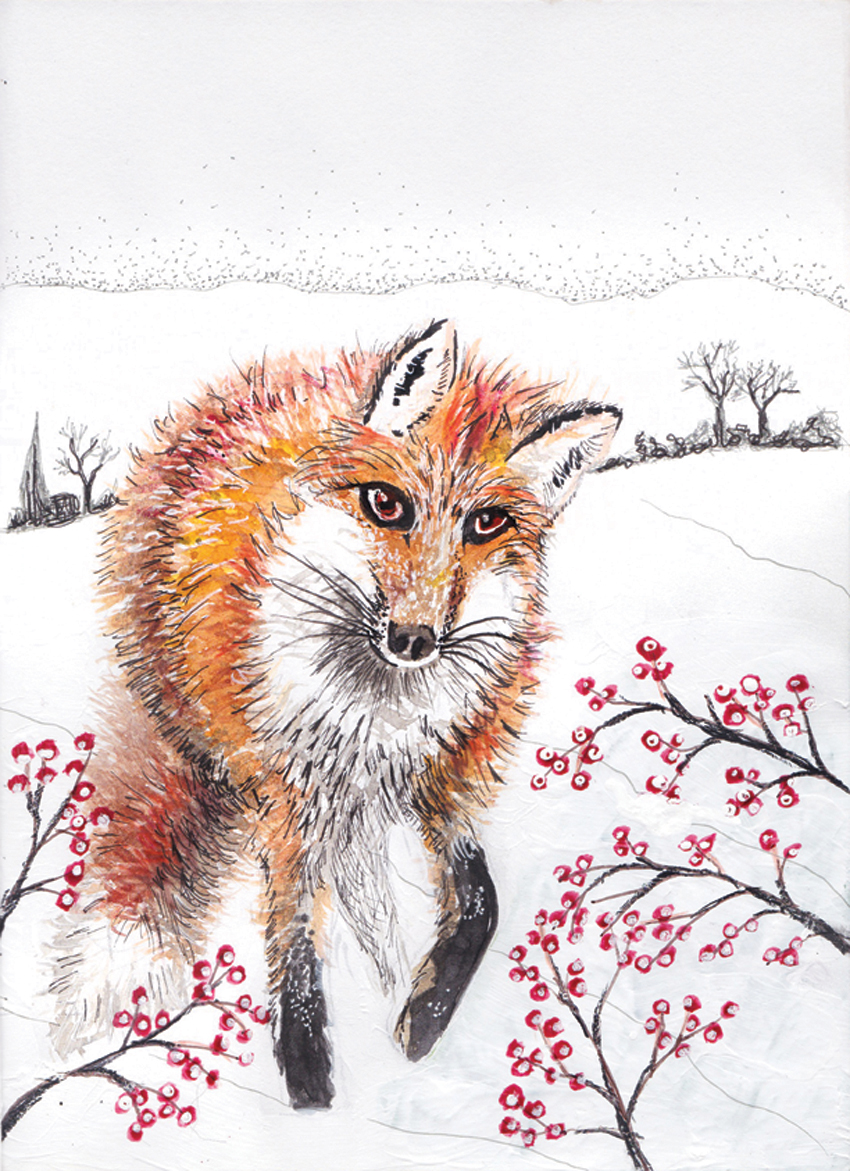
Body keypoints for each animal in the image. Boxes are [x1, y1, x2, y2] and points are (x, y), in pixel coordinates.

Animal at [64, 319, 619, 1110]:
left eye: (487, 523)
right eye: (387, 505)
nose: (414, 638)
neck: (373, 720)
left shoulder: (445, 776)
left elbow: (480, 901)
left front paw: (424, 1017)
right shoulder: (288, 795)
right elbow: (295, 940)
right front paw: (308, 1082)